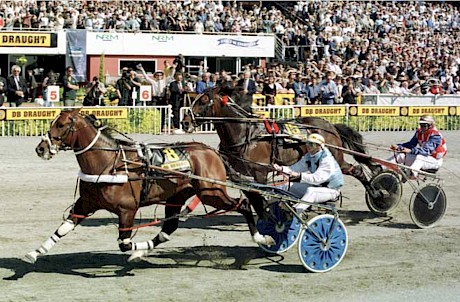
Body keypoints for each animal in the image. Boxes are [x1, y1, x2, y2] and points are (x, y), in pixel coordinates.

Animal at [27, 109, 274, 264]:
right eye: (51, 123)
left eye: (61, 125)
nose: (41, 148)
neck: (110, 163)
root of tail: (211, 151)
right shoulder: (86, 203)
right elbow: (63, 228)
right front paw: (35, 252)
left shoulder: (127, 210)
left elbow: (125, 244)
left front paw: (136, 252)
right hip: (178, 196)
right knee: (169, 229)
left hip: (211, 192)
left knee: (243, 205)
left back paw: (262, 238)